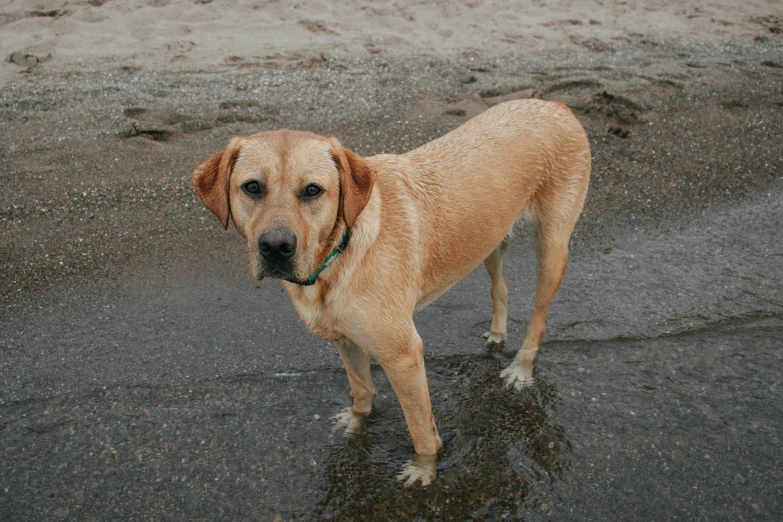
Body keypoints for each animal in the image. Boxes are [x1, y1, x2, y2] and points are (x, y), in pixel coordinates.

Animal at [193, 98, 592, 484]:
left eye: (312, 191)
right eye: (252, 187)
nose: (276, 247)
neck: (340, 253)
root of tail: (556, 105)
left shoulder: (403, 356)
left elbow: (421, 430)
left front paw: (424, 470)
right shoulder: (345, 339)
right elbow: (361, 390)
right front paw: (357, 423)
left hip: (552, 246)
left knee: (539, 316)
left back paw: (521, 368)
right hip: (489, 240)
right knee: (501, 288)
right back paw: (496, 332)